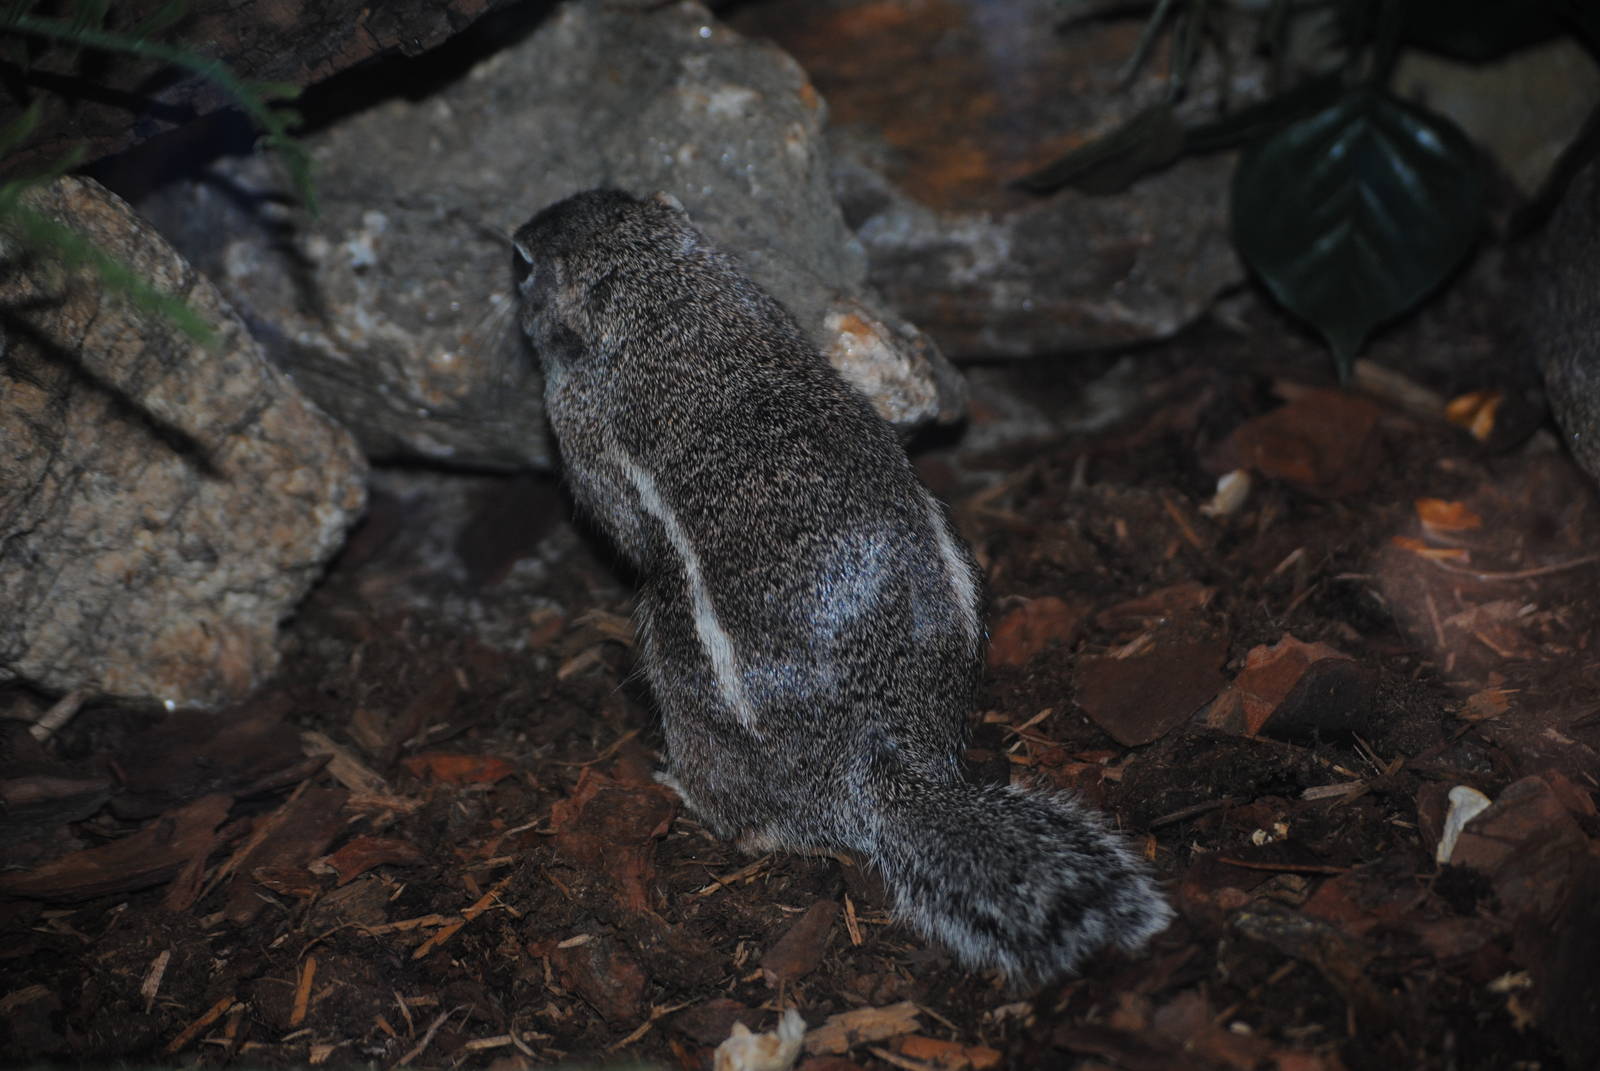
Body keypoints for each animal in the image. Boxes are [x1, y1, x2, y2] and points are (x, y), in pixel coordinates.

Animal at [512, 188, 1173, 981]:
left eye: (526, 265)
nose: (516, 233)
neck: (669, 298)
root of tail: (882, 761)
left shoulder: (580, 421)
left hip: (682, 674)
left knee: (749, 816)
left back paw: (683, 788)